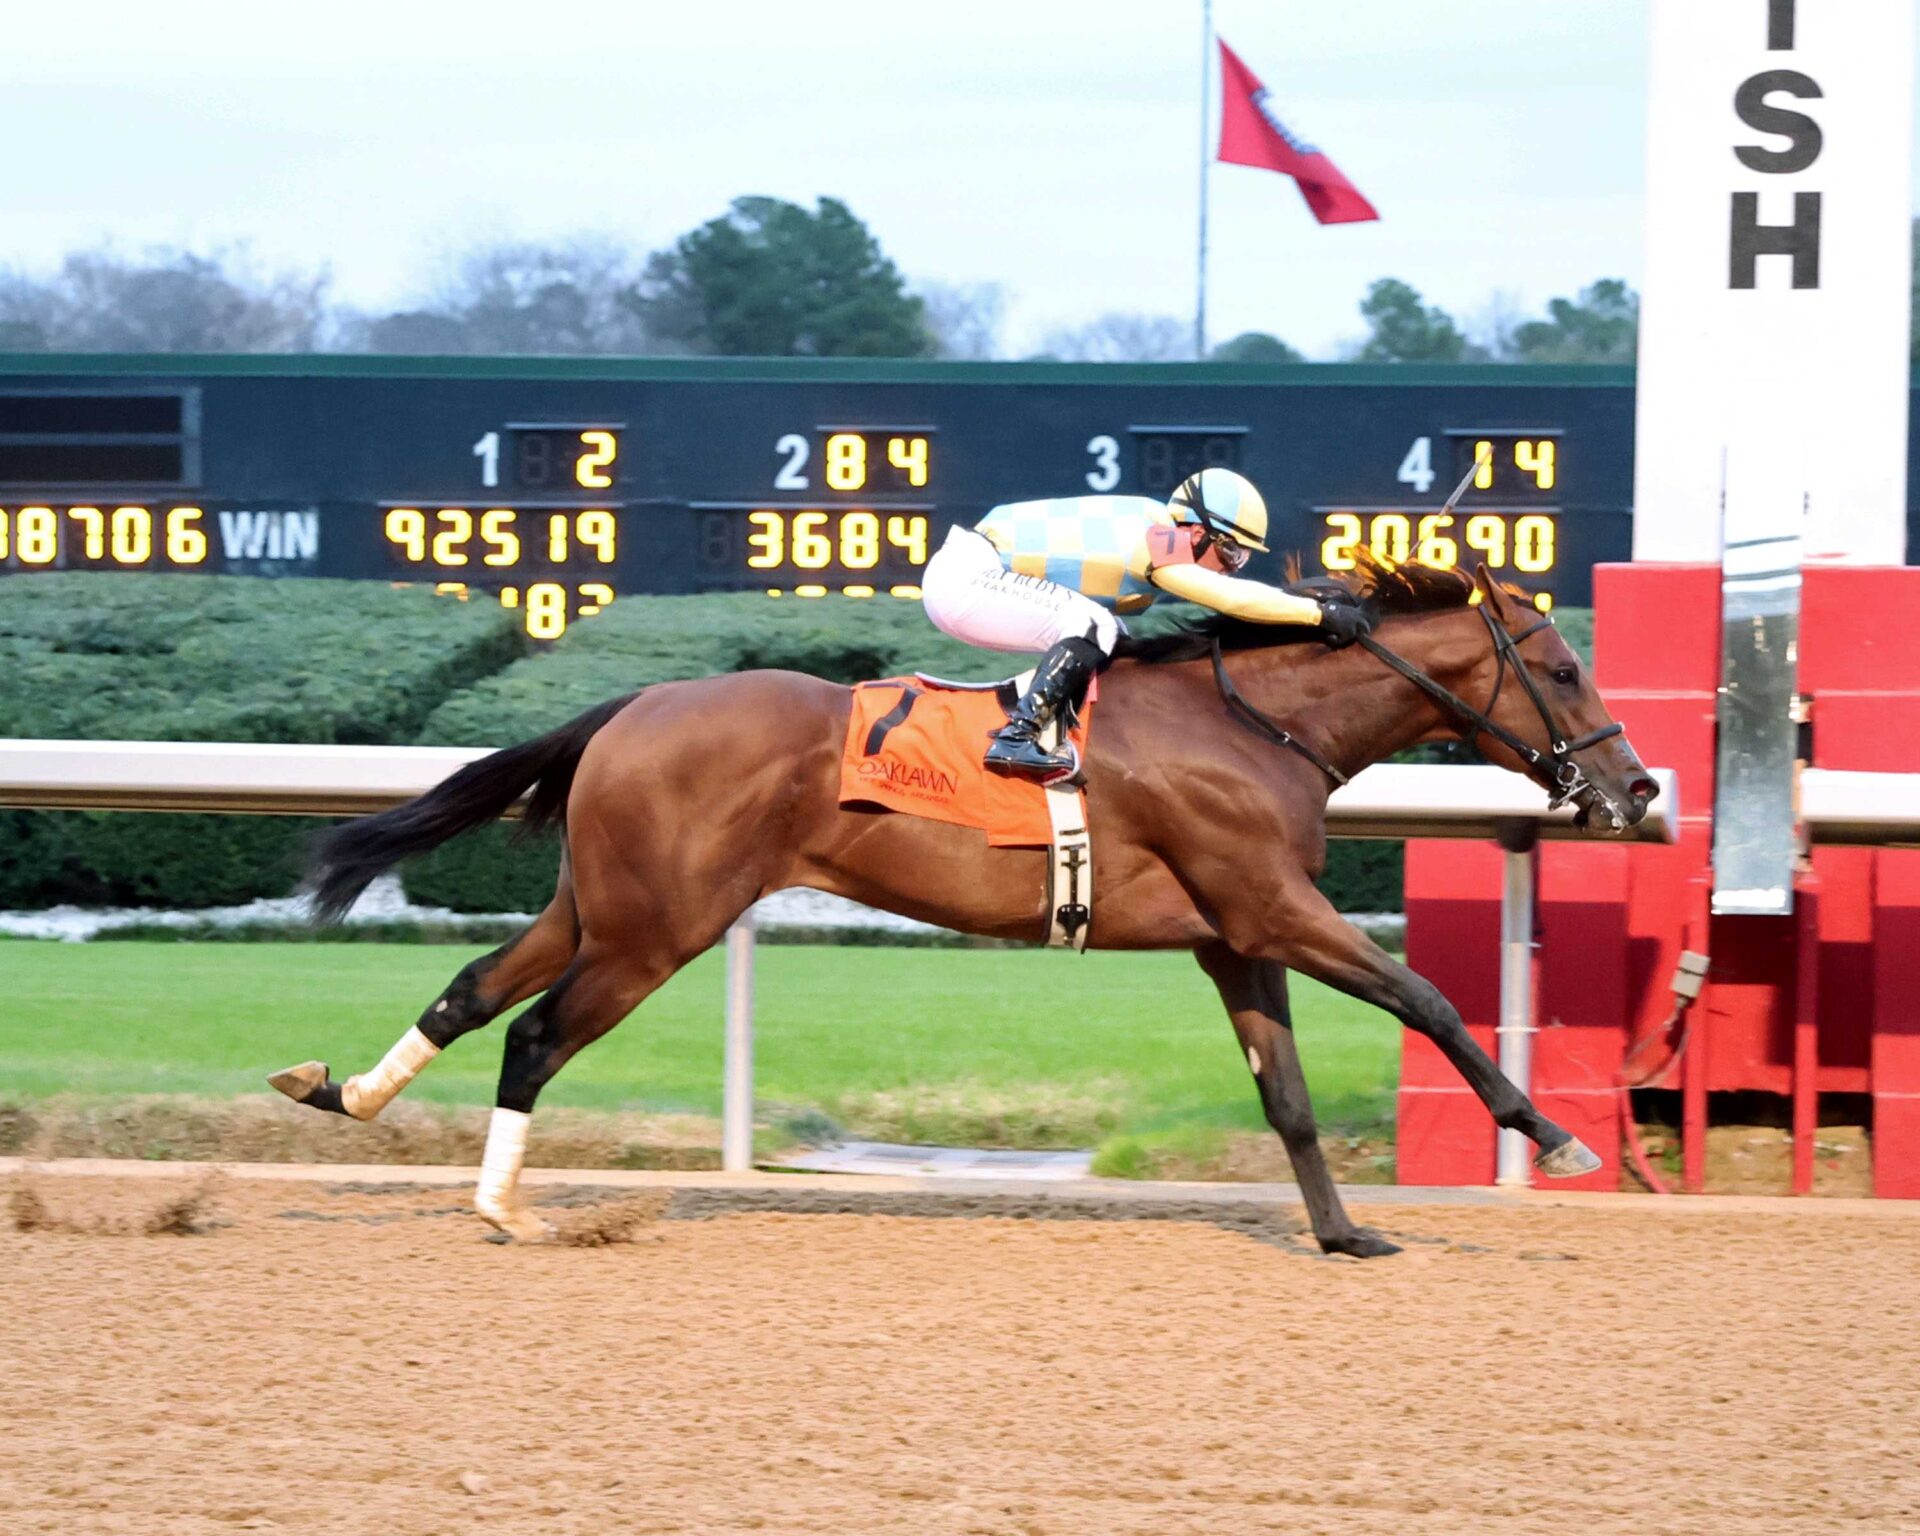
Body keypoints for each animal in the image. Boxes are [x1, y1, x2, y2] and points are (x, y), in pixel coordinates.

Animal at [269, 558, 1657, 1256]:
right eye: (1559, 665)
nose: (1638, 789)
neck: (1255, 725)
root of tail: (635, 705)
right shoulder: (1273, 907)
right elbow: (1427, 997)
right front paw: (1553, 1138)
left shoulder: (1234, 938)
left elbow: (1292, 1099)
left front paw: (1345, 1235)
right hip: (657, 930)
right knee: (536, 1034)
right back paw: (504, 1208)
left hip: (604, 908)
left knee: (470, 993)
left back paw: (343, 1093)